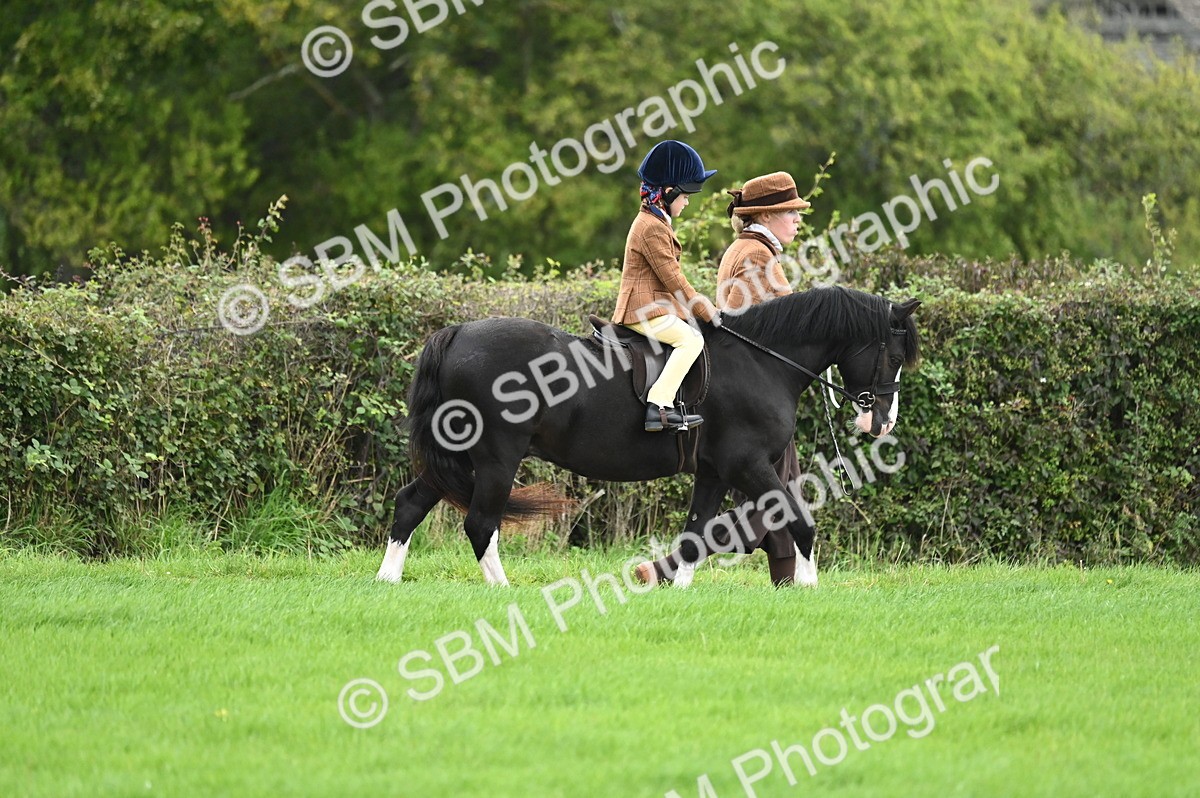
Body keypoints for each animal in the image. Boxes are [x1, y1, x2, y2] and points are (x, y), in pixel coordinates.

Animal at [376, 285, 920, 586]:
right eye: (894, 356)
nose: (882, 423)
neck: (761, 360)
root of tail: (458, 333)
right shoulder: (749, 464)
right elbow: (799, 519)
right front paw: (808, 585)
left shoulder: (716, 471)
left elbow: (698, 535)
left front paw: (675, 590)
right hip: (494, 459)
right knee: (480, 523)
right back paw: (502, 590)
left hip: (459, 457)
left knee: (411, 503)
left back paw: (387, 580)